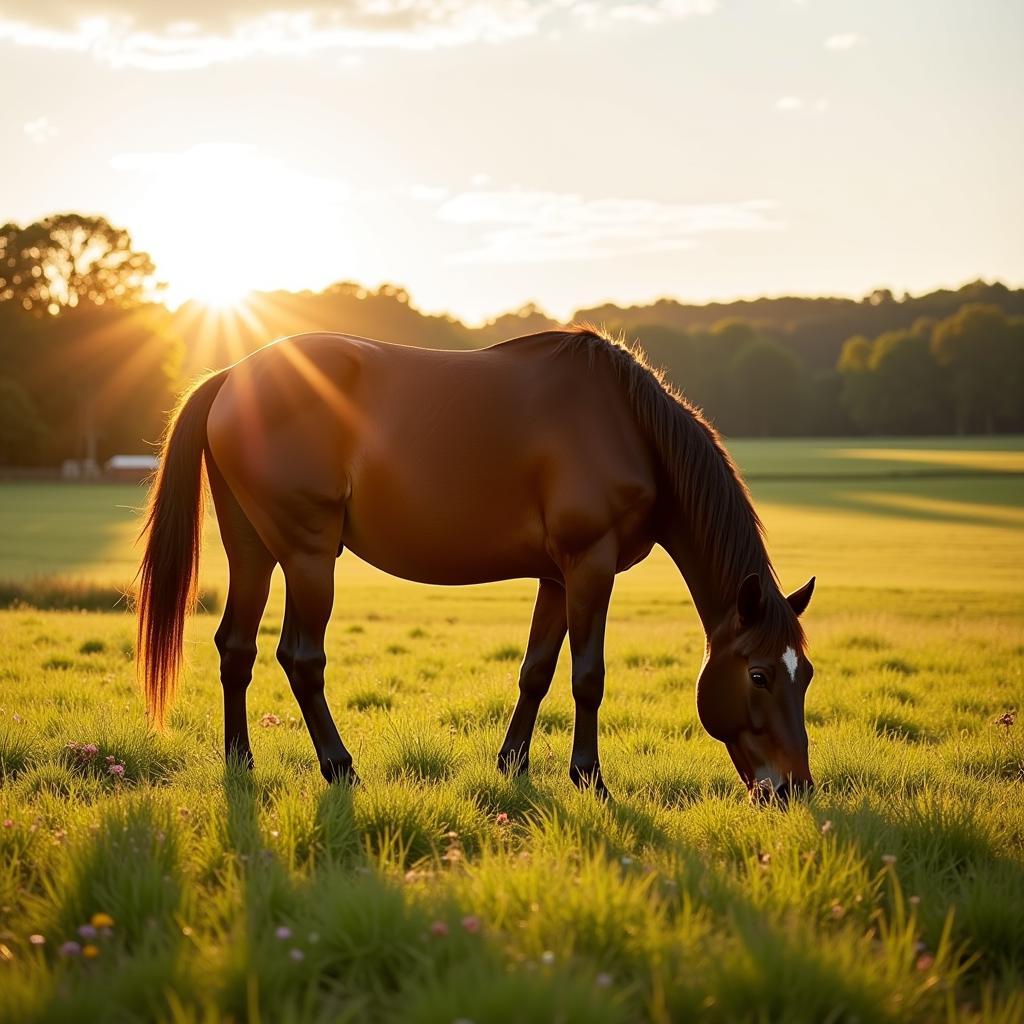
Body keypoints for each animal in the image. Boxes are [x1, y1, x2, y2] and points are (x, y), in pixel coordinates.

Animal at [138, 325, 815, 798]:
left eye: (804, 674)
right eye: (759, 675)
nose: (795, 788)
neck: (626, 427)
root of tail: (232, 375)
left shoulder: (557, 576)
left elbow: (537, 670)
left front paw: (512, 763)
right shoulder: (589, 565)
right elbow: (587, 676)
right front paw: (589, 777)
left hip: (253, 551)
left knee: (237, 648)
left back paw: (240, 762)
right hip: (308, 556)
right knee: (301, 659)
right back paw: (340, 767)